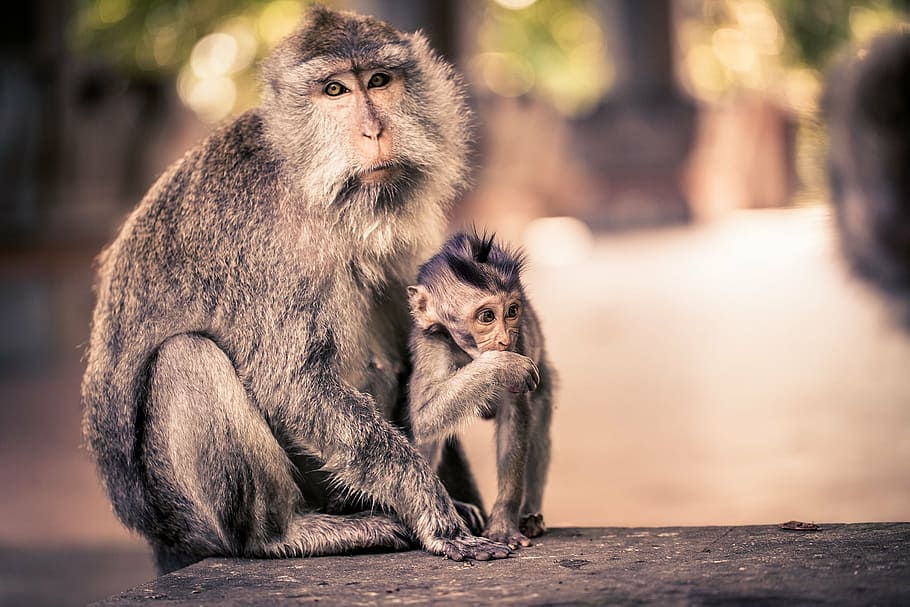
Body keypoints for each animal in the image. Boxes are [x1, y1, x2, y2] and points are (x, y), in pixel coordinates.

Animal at [81, 6, 513, 573]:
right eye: (335, 90)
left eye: (379, 80)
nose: (374, 130)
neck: (313, 182)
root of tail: (162, 542)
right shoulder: (272, 241)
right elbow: (293, 384)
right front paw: (433, 512)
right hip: (187, 517)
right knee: (186, 357)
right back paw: (281, 535)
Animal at [406, 231, 554, 549]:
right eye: (487, 317)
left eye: (512, 311)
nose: (504, 339)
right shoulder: (432, 341)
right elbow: (425, 417)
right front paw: (499, 366)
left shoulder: (522, 341)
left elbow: (515, 417)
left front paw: (503, 523)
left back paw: (530, 517)